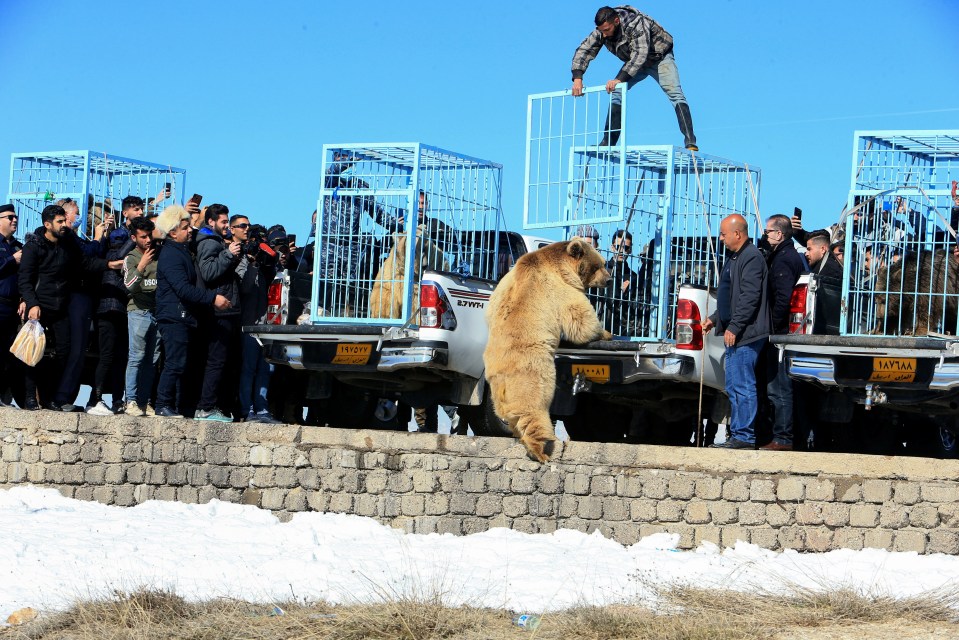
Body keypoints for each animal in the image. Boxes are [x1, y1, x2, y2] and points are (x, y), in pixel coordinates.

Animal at [484, 238, 612, 462]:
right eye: (599, 265)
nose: (609, 279)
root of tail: (500, 384)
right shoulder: (559, 289)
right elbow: (580, 320)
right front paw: (605, 332)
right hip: (530, 380)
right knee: (533, 414)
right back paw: (540, 452)